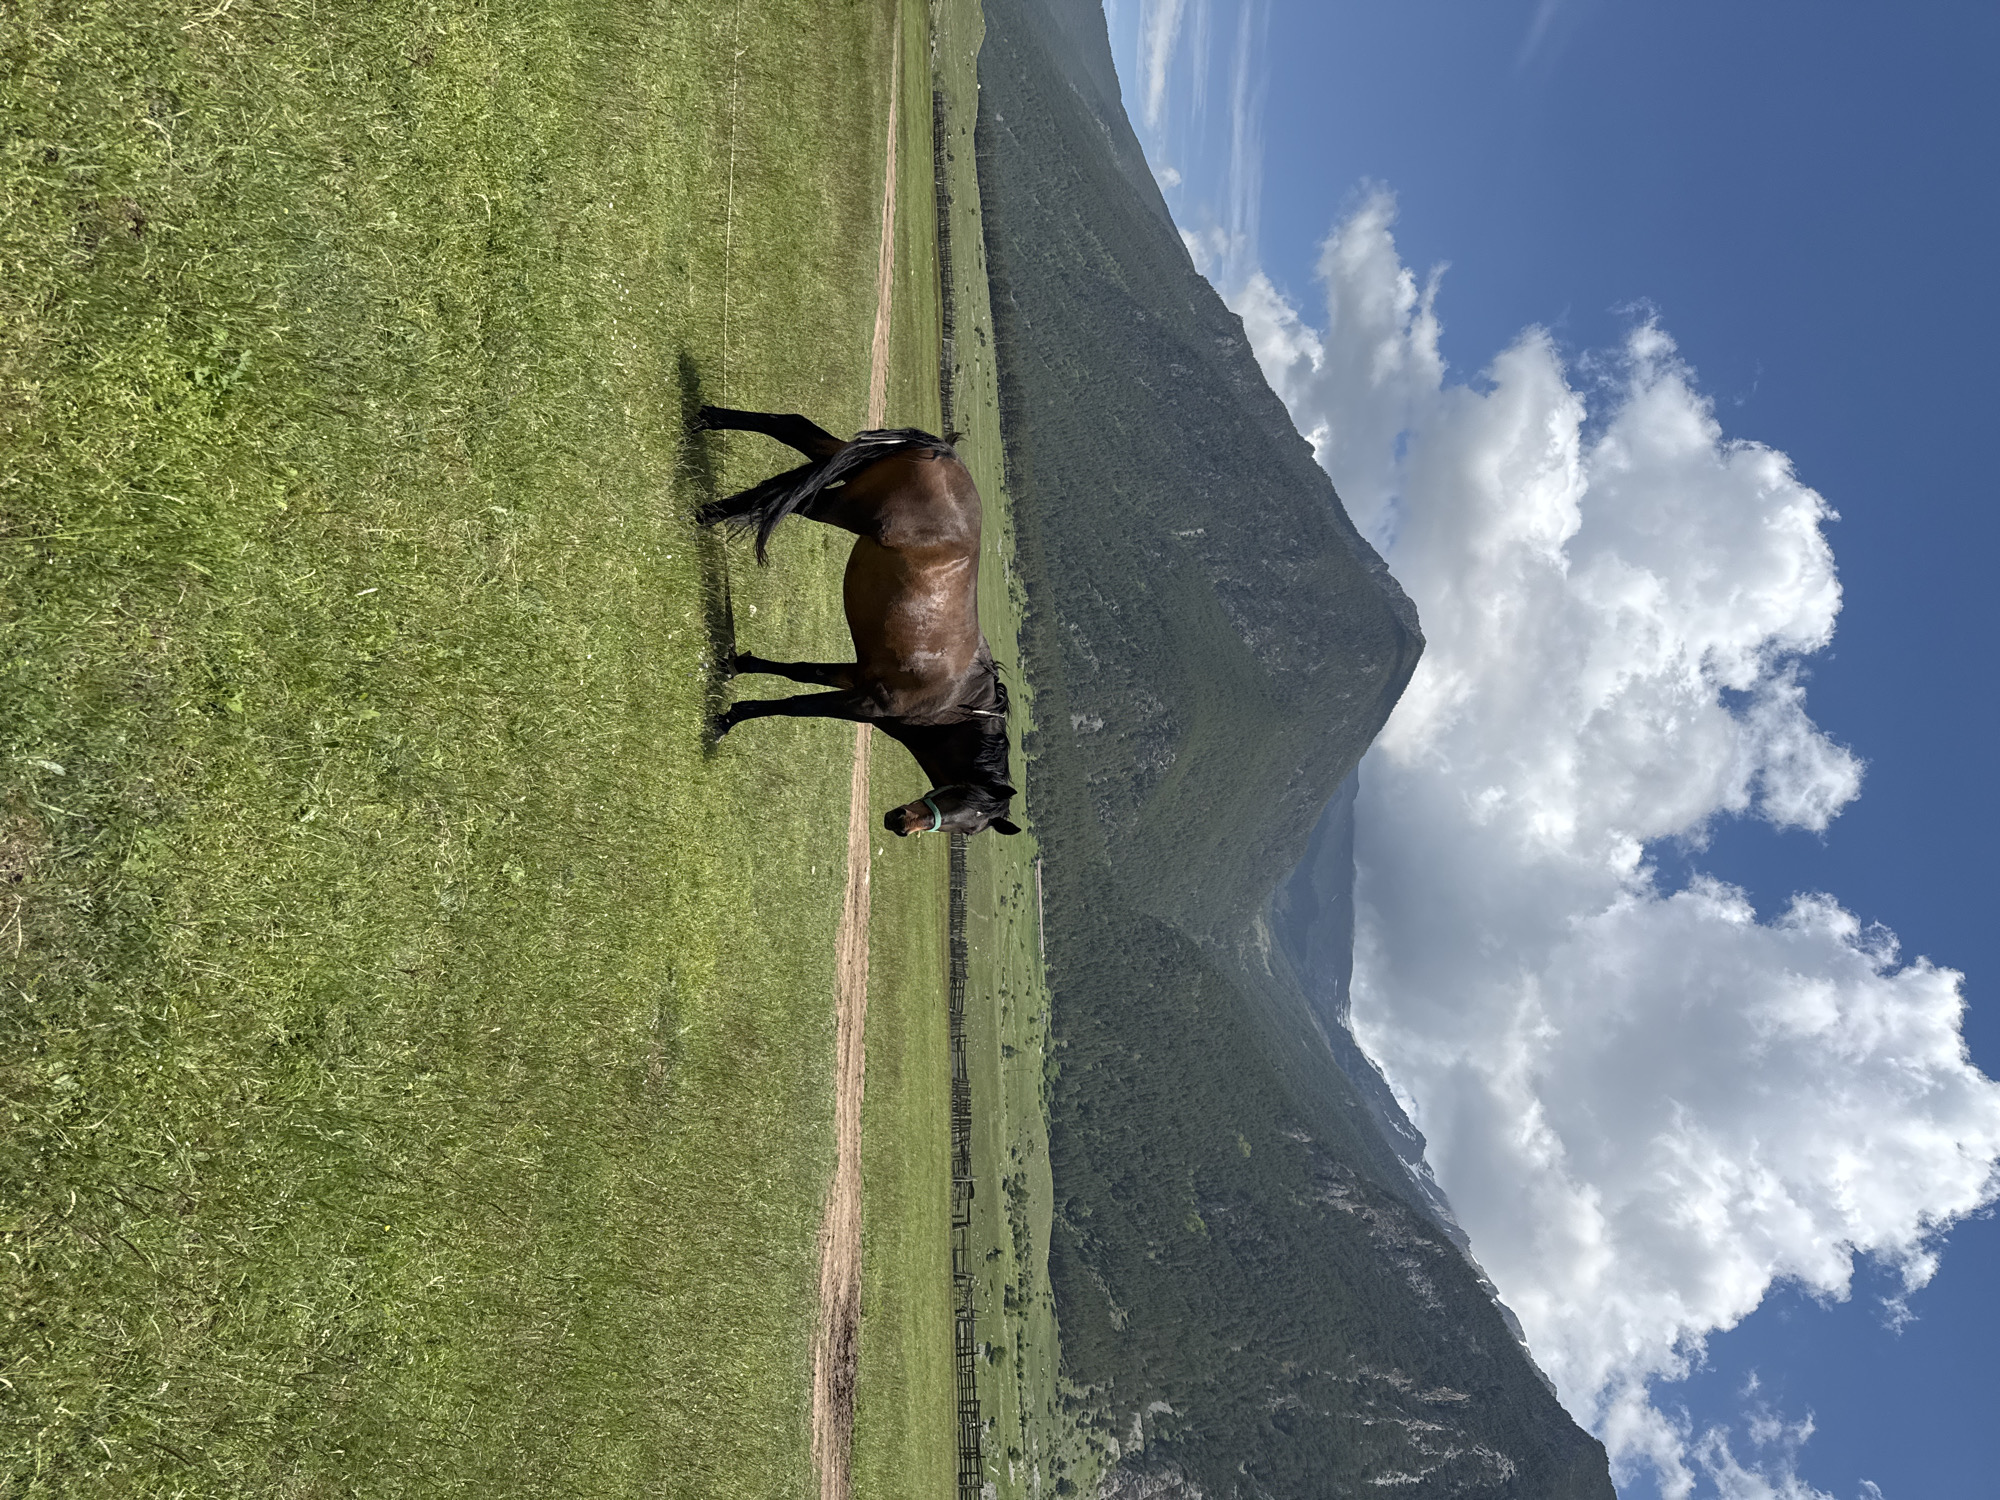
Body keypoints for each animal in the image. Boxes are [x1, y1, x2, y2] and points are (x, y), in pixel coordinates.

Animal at [695, 405, 1021, 839]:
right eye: (967, 818)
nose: (899, 823)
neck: (954, 703)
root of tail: (943, 454)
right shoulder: (864, 704)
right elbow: (797, 705)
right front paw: (729, 718)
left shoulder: (854, 676)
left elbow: (801, 671)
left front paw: (737, 665)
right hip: (840, 505)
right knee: (792, 497)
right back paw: (702, 514)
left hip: (845, 461)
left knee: (794, 427)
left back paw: (708, 422)